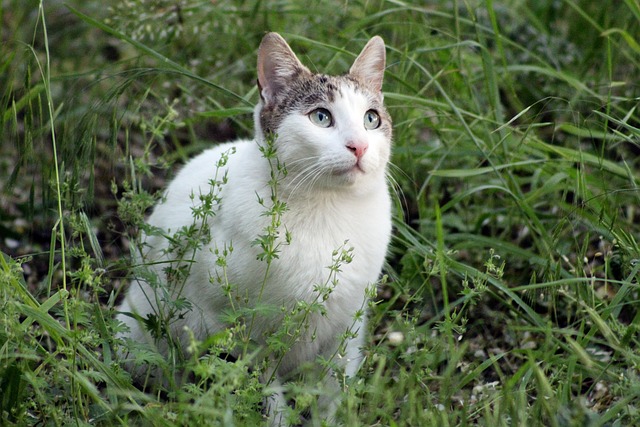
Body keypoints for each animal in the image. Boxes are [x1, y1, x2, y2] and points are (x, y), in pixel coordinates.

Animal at [117, 32, 392, 424]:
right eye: (321, 117)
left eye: (371, 118)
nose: (360, 145)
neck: (327, 207)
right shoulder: (233, 325)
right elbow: (264, 389)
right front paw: (277, 417)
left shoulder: (349, 326)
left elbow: (332, 389)